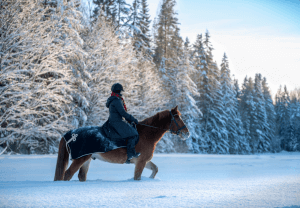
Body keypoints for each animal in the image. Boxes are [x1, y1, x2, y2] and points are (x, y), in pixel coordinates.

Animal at [54, 106, 190, 181]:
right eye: (177, 118)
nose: (187, 133)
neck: (146, 134)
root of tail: (69, 135)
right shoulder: (140, 161)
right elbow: (137, 177)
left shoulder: (143, 160)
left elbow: (155, 169)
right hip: (80, 159)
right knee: (67, 174)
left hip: (86, 160)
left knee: (81, 176)